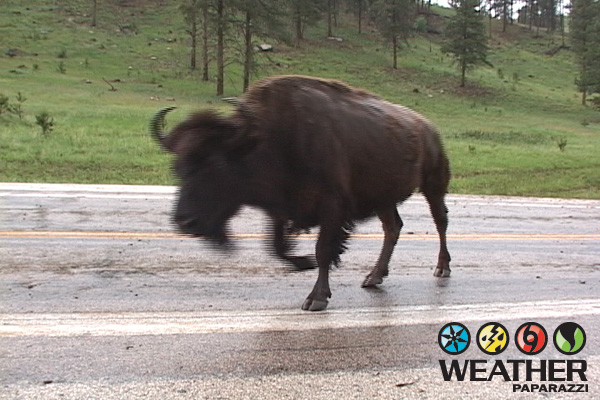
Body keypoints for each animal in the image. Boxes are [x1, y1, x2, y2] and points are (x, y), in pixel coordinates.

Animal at [150, 76, 450, 312]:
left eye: (217, 165)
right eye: (178, 167)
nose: (184, 222)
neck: (266, 140)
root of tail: (429, 128)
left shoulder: (332, 208)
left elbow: (323, 250)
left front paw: (316, 298)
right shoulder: (280, 211)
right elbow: (276, 247)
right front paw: (303, 263)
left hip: (433, 185)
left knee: (440, 222)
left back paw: (442, 268)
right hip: (383, 198)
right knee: (393, 227)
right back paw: (373, 277)